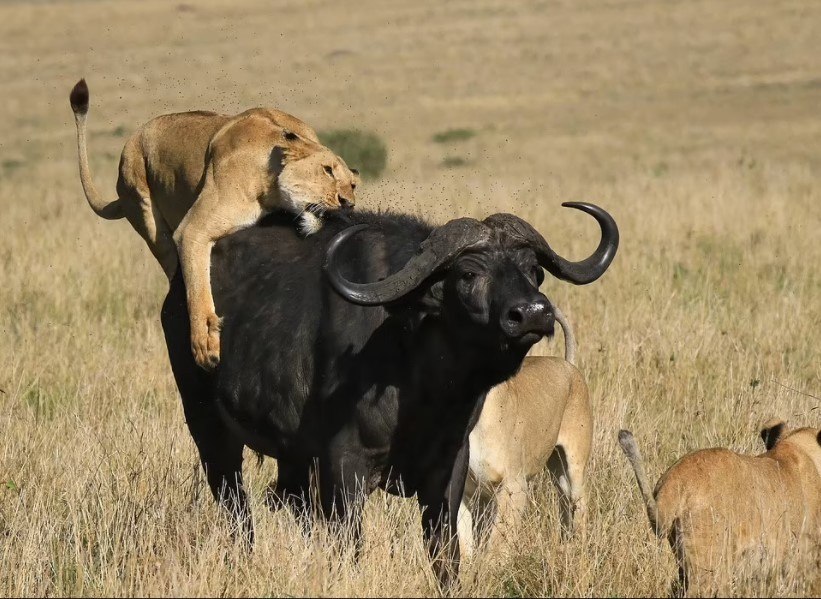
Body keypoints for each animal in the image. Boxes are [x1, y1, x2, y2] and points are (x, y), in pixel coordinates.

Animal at [160, 202, 616, 584]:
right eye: (468, 273)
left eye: (533, 270)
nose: (533, 313)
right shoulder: (344, 466)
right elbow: (350, 548)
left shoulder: (449, 467)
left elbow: (446, 552)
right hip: (208, 428)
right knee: (234, 504)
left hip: (293, 458)